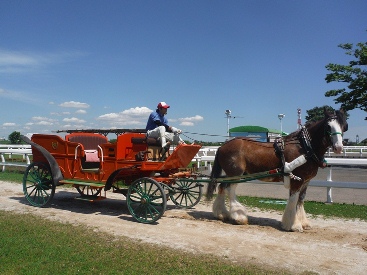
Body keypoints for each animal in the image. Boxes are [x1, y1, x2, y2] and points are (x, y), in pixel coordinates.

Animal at [207, 108, 348, 233]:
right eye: (328, 126)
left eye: (344, 126)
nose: (338, 148)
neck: (305, 148)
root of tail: (222, 146)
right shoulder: (296, 180)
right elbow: (293, 200)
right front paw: (293, 225)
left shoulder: (306, 181)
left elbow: (301, 200)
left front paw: (303, 222)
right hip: (236, 174)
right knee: (230, 190)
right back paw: (238, 217)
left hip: (230, 175)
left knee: (222, 187)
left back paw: (221, 214)